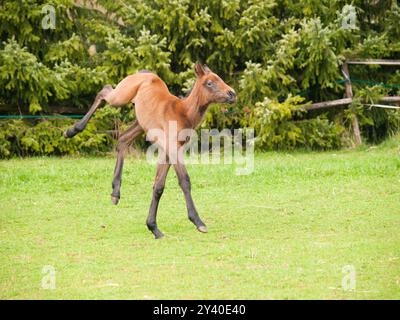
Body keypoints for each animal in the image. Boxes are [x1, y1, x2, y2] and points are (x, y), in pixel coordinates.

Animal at [64, 62, 236, 238]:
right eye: (210, 83)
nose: (232, 94)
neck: (183, 113)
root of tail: (143, 73)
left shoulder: (166, 152)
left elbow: (158, 186)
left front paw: (153, 227)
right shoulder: (173, 150)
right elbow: (184, 181)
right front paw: (198, 222)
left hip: (140, 123)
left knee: (123, 139)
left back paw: (115, 192)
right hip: (121, 97)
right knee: (104, 91)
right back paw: (72, 130)